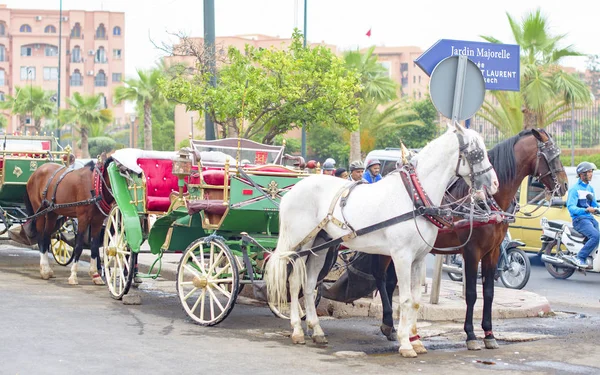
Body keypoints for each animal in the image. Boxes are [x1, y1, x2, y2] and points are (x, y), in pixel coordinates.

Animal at [264, 123, 500, 358]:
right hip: (300, 244)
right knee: (295, 282)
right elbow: (404, 299)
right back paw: (297, 330)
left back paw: (317, 330)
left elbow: (415, 300)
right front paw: (405, 343)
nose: (495, 184)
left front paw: (416, 341)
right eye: (477, 152)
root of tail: (292, 190)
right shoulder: (402, 257)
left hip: (319, 246)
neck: (414, 198)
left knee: (310, 284)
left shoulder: (419, 258)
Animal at [366, 129, 568, 352]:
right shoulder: (472, 252)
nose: (564, 185)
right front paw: (471, 334)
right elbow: (471, 293)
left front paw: (489, 334)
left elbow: (488, 292)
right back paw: (389, 323)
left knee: (391, 282)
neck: (486, 201)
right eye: (552, 156)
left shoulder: (492, 252)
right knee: (380, 278)